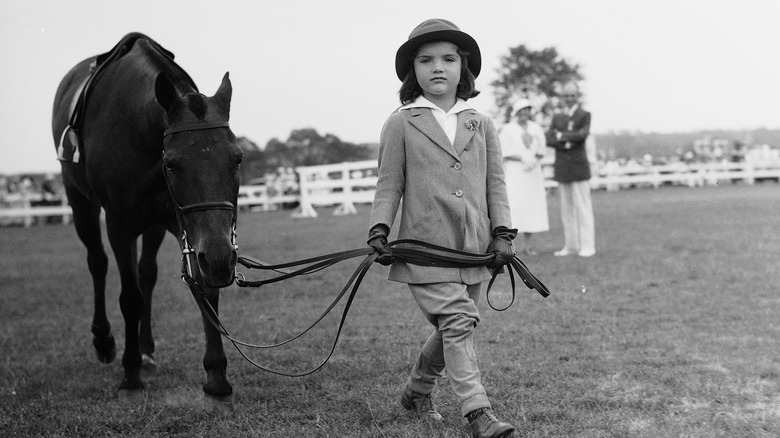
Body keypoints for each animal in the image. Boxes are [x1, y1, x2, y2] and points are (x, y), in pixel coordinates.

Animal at [50, 32, 242, 398]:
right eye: (172, 163)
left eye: (237, 158)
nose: (221, 258)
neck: (138, 127)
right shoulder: (119, 224)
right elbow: (129, 298)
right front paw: (130, 371)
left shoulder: (187, 225)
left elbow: (203, 288)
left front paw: (216, 372)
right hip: (80, 202)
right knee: (98, 263)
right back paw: (105, 341)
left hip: (155, 225)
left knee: (147, 274)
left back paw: (146, 348)